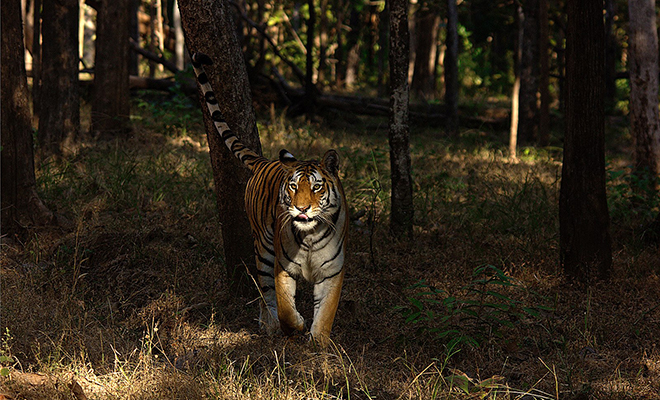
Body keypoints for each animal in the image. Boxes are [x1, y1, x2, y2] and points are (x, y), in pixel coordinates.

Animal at [189, 54, 348, 346]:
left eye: (317, 187)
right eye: (294, 186)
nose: (302, 208)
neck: (309, 237)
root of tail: (264, 161)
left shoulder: (332, 271)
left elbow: (326, 312)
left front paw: (319, 342)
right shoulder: (282, 266)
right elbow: (284, 304)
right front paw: (294, 325)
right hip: (263, 247)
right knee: (265, 291)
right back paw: (269, 325)